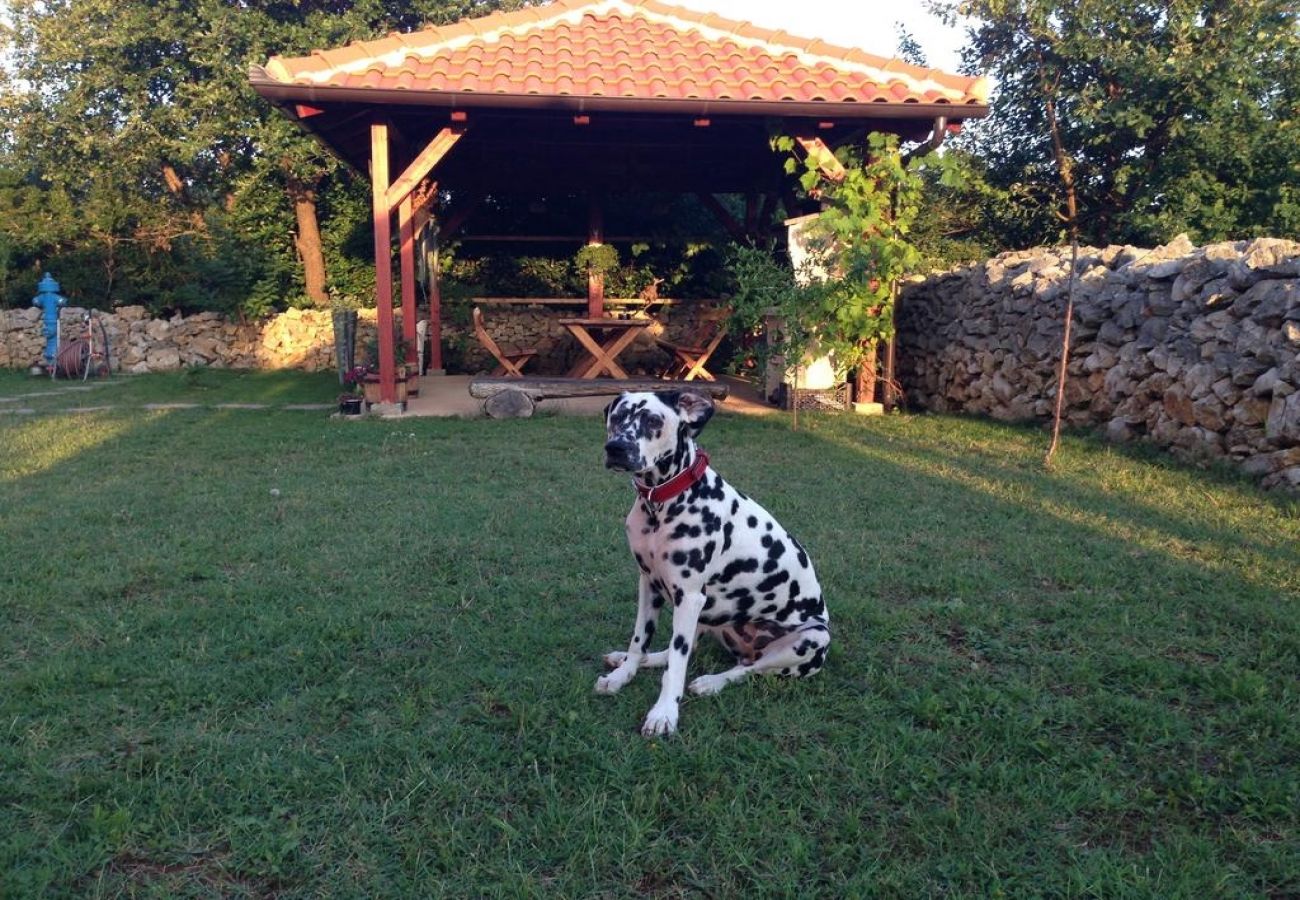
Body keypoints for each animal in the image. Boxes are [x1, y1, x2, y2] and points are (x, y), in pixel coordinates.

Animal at [598, 390, 832, 733]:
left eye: (653, 420)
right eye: (616, 417)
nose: (616, 448)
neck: (661, 505)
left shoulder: (689, 597)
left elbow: (677, 664)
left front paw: (664, 712)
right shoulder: (649, 585)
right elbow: (639, 641)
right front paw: (621, 675)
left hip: (813, 637)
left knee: (747, 668)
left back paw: (712, 682)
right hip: (707, 616)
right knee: (683, 650)